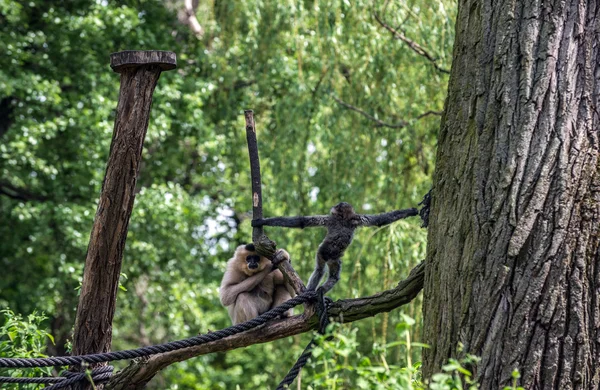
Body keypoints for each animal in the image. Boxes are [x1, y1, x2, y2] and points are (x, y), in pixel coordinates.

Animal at [252, 204, 418, 292]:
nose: (332, 208)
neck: (343, 218)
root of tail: (328, 254)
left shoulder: (347, 219)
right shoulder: (352, 218)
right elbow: (380, 220)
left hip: (327, 256)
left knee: (324, 272)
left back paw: (314, 291)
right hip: (330, 257)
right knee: (328, 273)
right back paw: (315, 292)